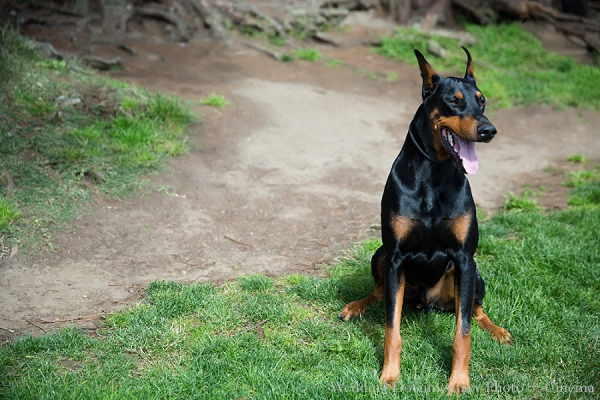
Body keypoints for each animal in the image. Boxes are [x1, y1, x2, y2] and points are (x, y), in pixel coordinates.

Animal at [340, 47, 512, 394]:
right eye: (454, 101)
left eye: (482, 100)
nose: (489, 130)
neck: (434, 174)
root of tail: (424, 303)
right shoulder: (395, 257)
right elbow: (391, 327)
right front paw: (390, 375)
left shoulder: (464, 258)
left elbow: (463, 331)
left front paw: (458, 381)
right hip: (380, 256)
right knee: (379, 293)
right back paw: (355, 306)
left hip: (475, 275)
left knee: (475, 309)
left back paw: (498, 330)